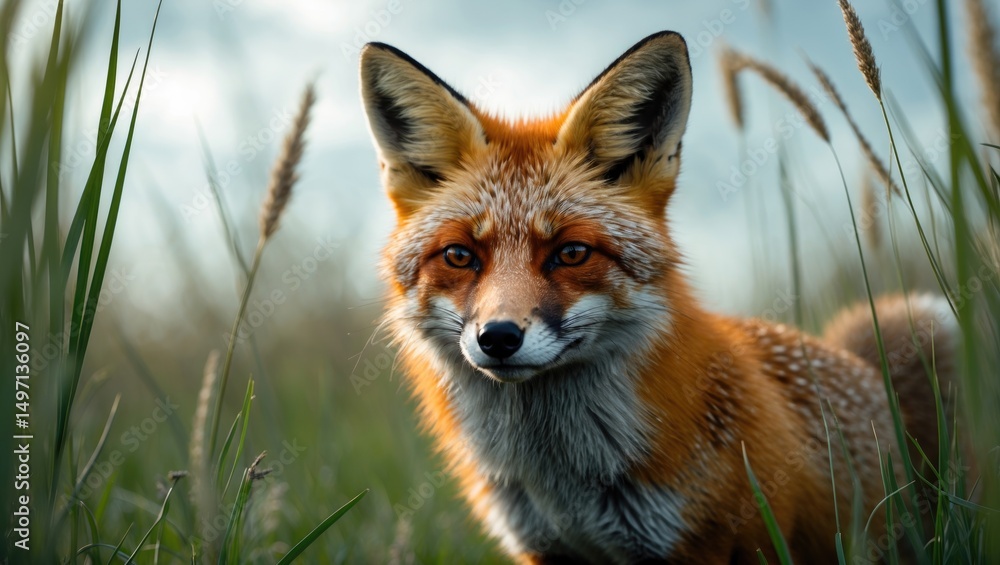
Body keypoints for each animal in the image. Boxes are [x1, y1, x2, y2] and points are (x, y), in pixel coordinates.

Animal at [359, 31, 959, 563]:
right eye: (460, 256)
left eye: (571, 253)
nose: (499, 337)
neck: (567, 487)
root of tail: (863, 367)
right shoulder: (545, 549)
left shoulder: (698, 543)